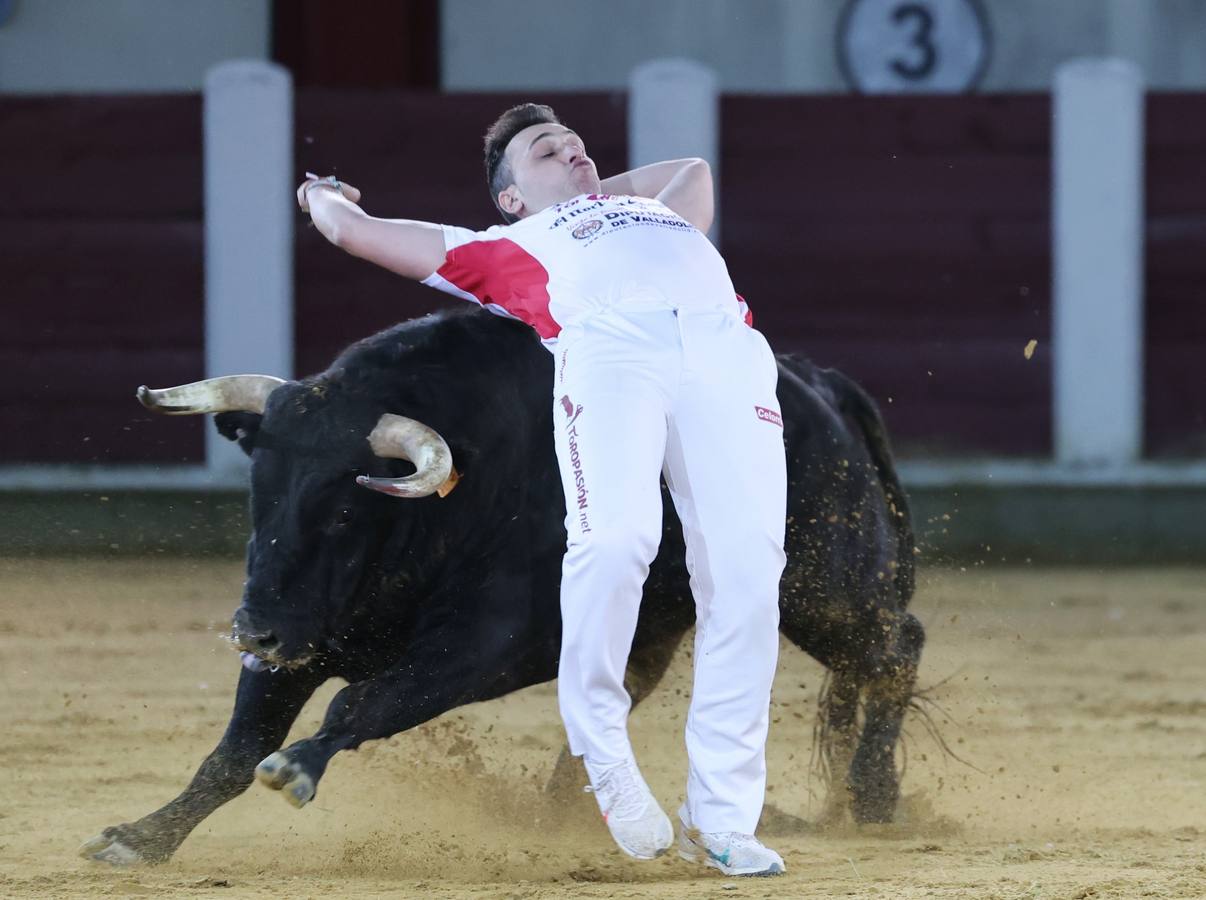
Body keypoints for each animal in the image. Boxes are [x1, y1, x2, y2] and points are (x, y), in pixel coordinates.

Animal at [80, 308, 921, 863]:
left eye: (344, 509)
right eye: (262, 492)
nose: (250, 629)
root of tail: (818, 383)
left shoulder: (479, 649)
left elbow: (363, 703)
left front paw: (297, 768)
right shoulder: (307, 633)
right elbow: (234, 747)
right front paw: (139, 837)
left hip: (818, 587)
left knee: (894, 646)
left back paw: (875, 797)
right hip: (667, 615)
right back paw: (571, 810)